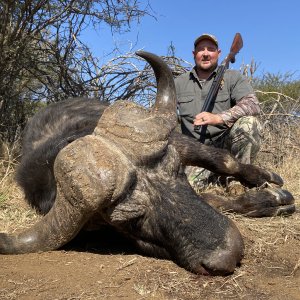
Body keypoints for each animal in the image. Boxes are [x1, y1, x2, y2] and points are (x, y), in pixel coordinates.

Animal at [0, 51, 296, 274]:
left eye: (177, 172)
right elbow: (211, 198)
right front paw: (268, 201)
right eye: (133, 221)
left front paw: (268, 188)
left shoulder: (178, 141)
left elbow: (224, 161)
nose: (229, 254)